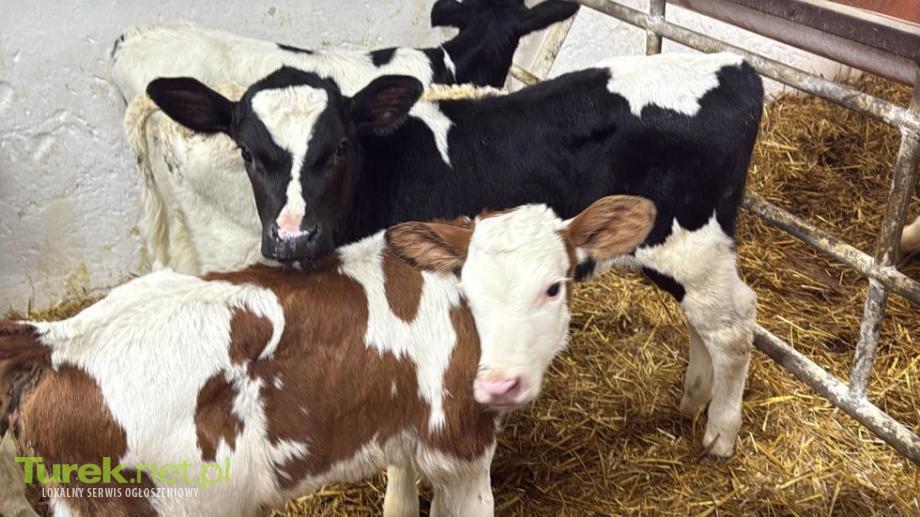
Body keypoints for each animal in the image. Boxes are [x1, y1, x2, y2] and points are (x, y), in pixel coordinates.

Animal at [0, 196, 655, 517]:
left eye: (554, 286)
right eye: (473, 290)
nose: (499, 385)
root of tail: (59, 339)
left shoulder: (401, 426)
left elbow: (398, 497)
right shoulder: (461, 443)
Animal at [147, 51, 765, 457]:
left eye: (339, 147)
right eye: (248, 153)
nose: (293, 237)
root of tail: (733, 65)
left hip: (693, 242)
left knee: (734, 322)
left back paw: (721, 432)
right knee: (704, 320)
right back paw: (693, 398)